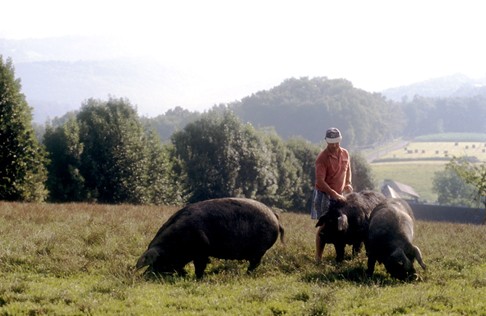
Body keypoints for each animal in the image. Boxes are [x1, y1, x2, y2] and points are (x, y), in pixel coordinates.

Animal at [136, 199, 284, 278]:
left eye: (157, 262)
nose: (144, 276)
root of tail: (274, 215)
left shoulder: (201, 250)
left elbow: (200, 266)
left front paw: (197, 278)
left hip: (260, 249)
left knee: (255, 263)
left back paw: (245, 275)